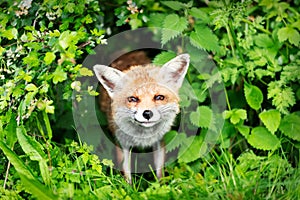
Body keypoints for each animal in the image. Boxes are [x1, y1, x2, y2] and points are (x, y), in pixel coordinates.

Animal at [93, 51, 190, 183]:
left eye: (159, 97)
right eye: (133, 99)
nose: (147, 113)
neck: (143, 136)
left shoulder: (159, 140)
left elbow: (160, 172)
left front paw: (161, 186)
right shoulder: (121, 143)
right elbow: (126, 172)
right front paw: (128, 187)